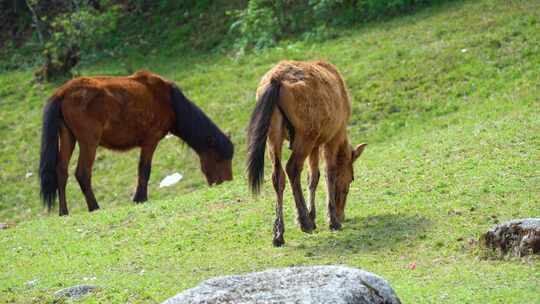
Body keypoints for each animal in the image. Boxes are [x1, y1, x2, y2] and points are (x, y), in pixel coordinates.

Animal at [38, 70, 232, 215]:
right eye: (219, 158)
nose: (228, 182)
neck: (169, 100)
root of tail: (62, 92)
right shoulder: (150, 141)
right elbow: (144, 170)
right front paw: (140, 198)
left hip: (68, 137)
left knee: (61, 171)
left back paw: (64, 211)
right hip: (89, 142)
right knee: (82, 173)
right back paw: (94, 207)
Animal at [246, 60, 364, 247]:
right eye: (351, 178)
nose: (342, 215)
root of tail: (275, 80)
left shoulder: (315, 145)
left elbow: (313, 177)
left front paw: (313, 215)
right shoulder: (332, 137)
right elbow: (328, 173)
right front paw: (331, 219)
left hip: (274, 135)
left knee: (277, 175)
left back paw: (279, 234)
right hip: (304, 135)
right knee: (292, 168)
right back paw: (304, 222)